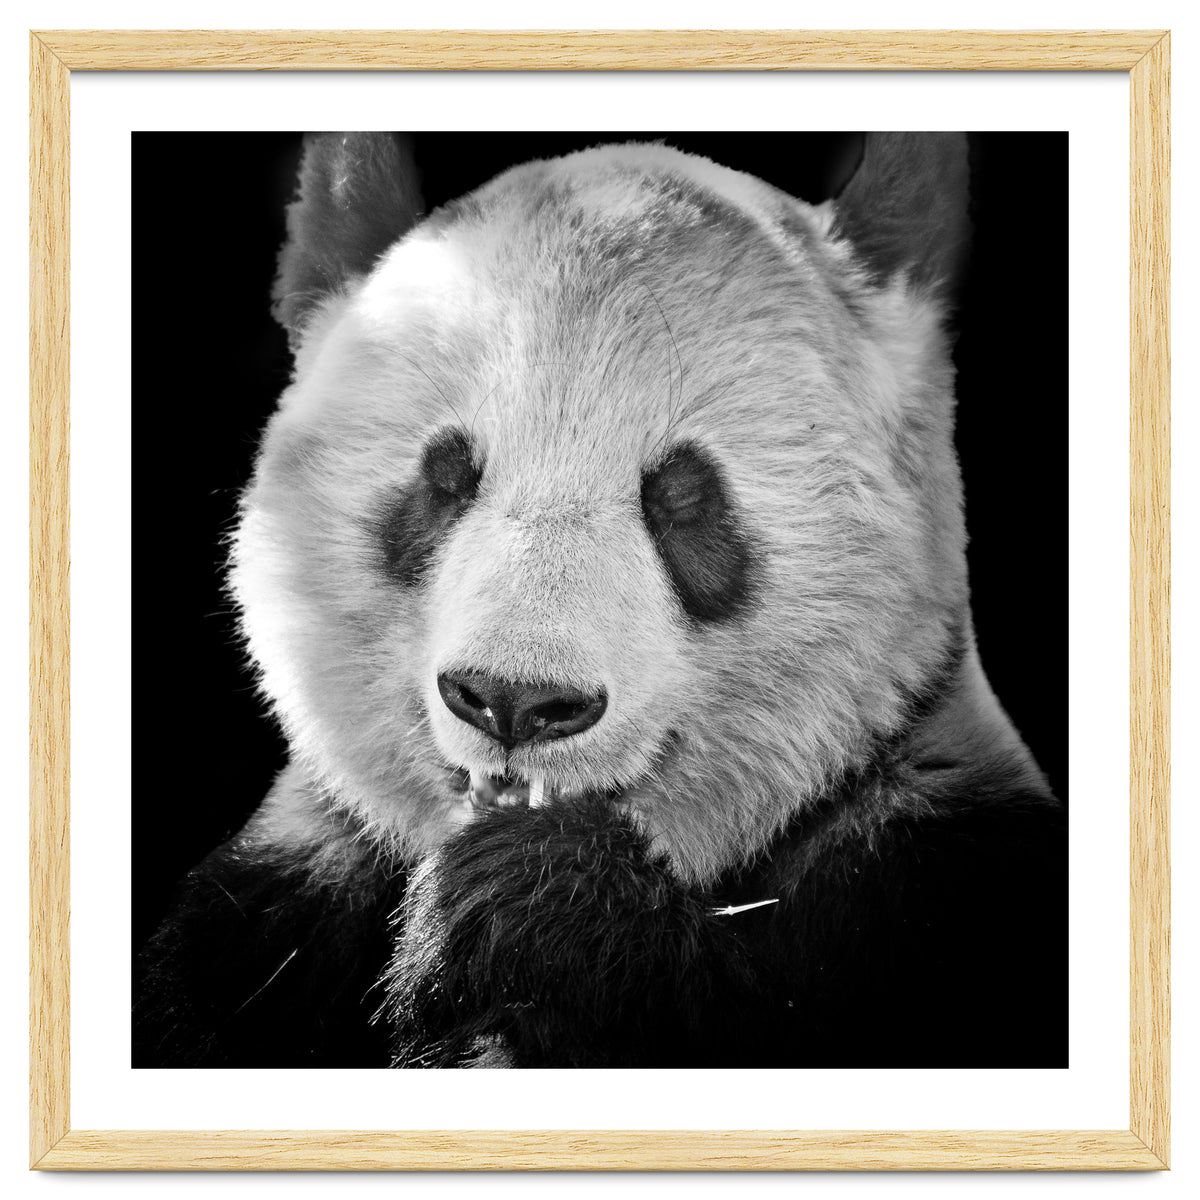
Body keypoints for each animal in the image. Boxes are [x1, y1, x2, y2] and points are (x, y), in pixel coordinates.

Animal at [134, 132, 1067, 1069]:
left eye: (683, 496)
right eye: (445, 477)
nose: (515, 701)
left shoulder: (933, 877)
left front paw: (532, 904)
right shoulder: (269, 912)